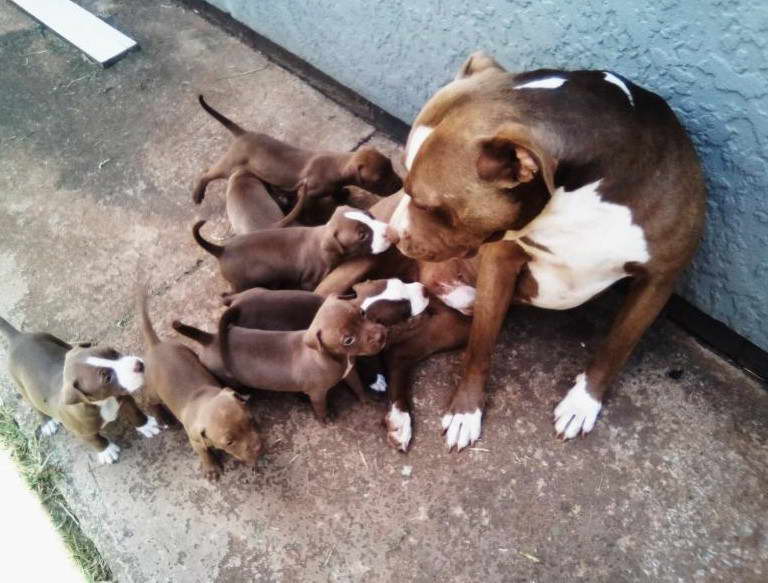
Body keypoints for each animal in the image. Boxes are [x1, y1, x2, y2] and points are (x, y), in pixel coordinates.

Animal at [0, 314, 159, 466]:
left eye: (113, 352)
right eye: (107, 378)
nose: (139, 365)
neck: (102, 402)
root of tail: (17, 337)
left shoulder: (124, 398)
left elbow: (135, 413)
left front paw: (146, 425)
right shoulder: (82, 432)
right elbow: (96, 440)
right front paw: (106, 451)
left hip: (54, 339)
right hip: (21, 386)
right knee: (34, 405)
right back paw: (47, 422)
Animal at [141, 290, 264, 482]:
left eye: (251, 420)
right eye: (229, 442)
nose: (259, 447)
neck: (203, 400)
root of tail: (156, 346)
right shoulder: (195, 440)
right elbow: (204, 453)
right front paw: (211, 468)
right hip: (154, 391)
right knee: (148, 400)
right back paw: (162, 417)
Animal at [192, 96, 402, 221]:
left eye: (391, 165)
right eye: (379, 179)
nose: (401, 185)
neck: (336, 165)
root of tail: (244, 134)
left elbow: (336, 191)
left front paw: (342, 193)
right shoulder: (306, 193)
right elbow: (303, 207)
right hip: (229, 165)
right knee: (207, 174)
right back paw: (197, 194)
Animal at [195, 204, 392, 292]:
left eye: (369, 215)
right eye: (362, 235)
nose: (390, 232)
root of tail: (222, 250)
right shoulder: (310, 281)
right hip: (242, 283)